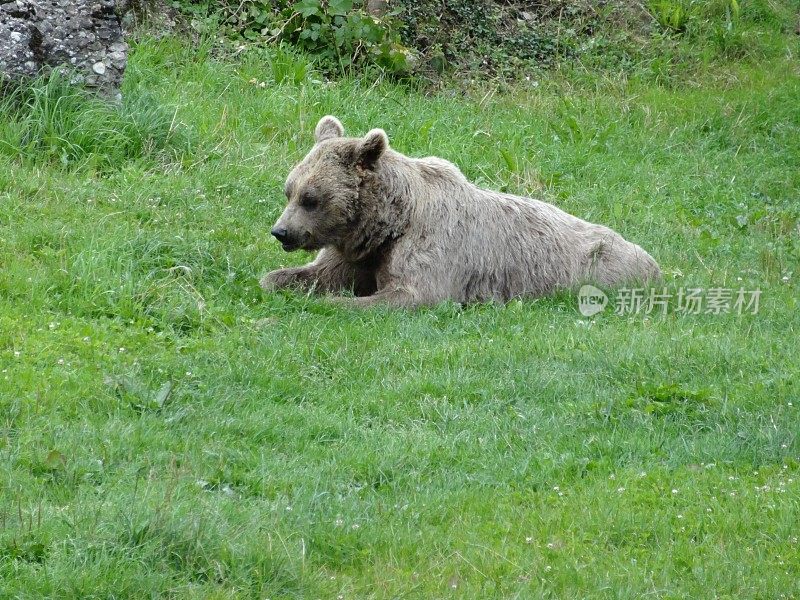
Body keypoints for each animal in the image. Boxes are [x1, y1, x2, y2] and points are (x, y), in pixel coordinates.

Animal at [262, 115, 664, 308]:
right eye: (289, 191)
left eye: (311, 198)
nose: (281, 232)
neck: (388, 224)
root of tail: (653, 261)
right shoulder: (358, 252)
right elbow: (315, 274)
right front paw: (282, 281)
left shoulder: (431, 247)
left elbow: (413, 293)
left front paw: (342, 302)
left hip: (599, 265)